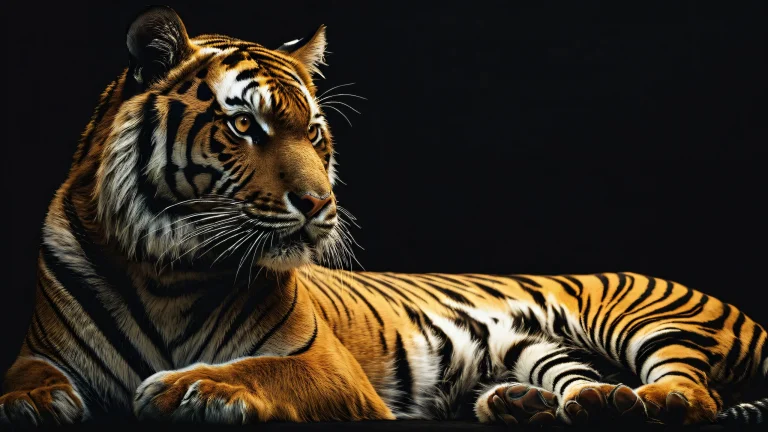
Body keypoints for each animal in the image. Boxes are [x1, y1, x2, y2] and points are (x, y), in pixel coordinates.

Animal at [1, 5, 766, 427]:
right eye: (244, 125)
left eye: (314, 133)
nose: (320, 205)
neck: (166, 268)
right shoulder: (41, 350)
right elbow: (23, 376)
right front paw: (28, 403)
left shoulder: (322, 363)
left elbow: (260, 372)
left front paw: (192, 386)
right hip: (548, 354)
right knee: (585, 384)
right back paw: (538, 404)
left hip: (646, 318)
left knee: (692, 393)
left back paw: (646, 403)